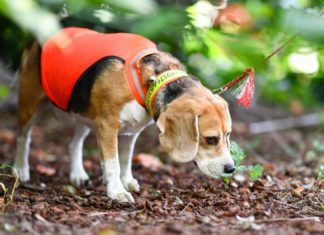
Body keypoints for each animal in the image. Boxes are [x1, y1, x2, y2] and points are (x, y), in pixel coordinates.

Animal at [14, 27, 235, 203]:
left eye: (228, 135)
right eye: (211, 139)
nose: (231, 169)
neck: (152, 79)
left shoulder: (132, 131)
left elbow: (125, 159)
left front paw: (125, 181)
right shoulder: (107, 127)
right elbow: (113, 163)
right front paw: (116, 192)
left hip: (83, 113)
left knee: (74, 143)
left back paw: (77, 174)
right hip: (30, 104)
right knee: (23, 138)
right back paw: (20, 170)